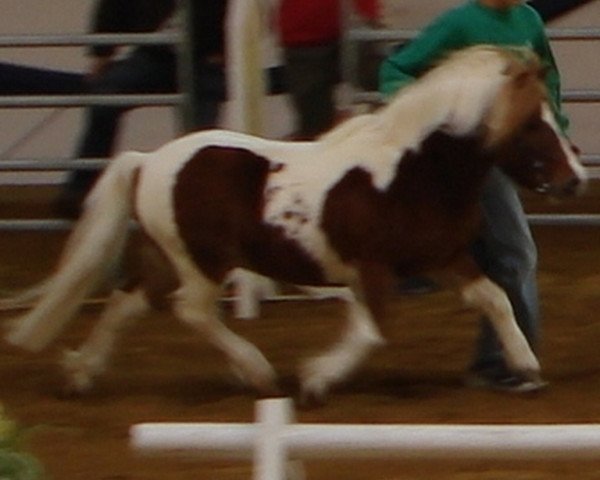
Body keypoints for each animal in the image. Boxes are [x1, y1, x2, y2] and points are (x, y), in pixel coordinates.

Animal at [3, 47, 584, 402]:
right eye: (530, 125)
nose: (575, 179)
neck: (412, 172)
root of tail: (146, 161)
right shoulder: (372, 268)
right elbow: (373, 329)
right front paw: (315, 379)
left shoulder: (443, 258)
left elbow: (494, 297)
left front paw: (527, 366)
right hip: (201, 262)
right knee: (191, 311)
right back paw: (257, 372)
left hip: (164, 257)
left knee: (126, 305)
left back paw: (80, 375)